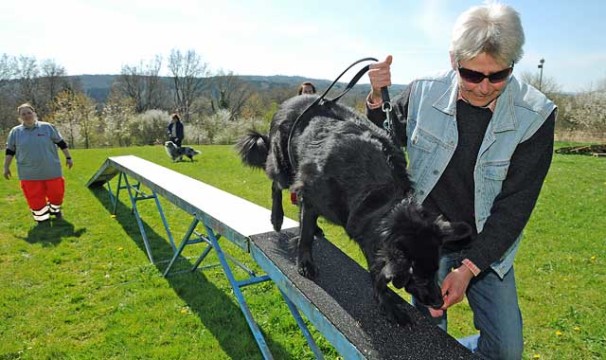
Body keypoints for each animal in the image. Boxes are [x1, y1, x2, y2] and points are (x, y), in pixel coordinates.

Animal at [236, 94, 470, 324]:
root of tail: (290, 100)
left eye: (435, 271)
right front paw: (305, 263)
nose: (440, 302)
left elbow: (376, 271)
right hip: (284, 167)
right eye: (419, 278)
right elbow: (305, 235)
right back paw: (277, 218)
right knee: (276, 184)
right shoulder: (311, 194)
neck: (380, 196)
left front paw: (385, 301)